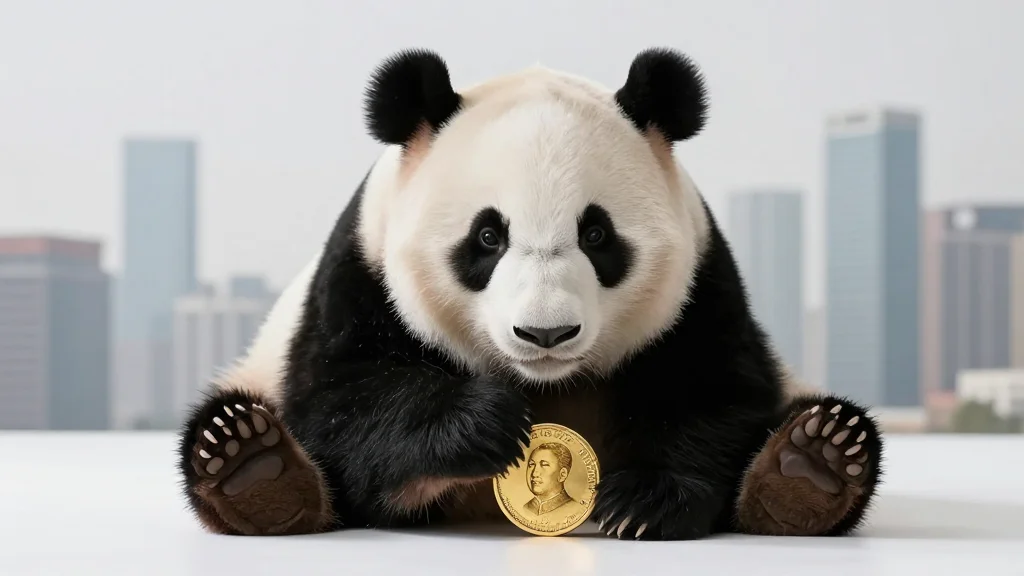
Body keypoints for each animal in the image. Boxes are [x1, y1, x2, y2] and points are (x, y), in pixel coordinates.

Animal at [177, 47, 883, 540]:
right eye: (488, 237)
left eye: (596, 234)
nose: (546, 334)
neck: (544, 383)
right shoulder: (361, 273)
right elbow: (345, 399)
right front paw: (484, 422)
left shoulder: (700, 282)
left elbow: (711, 390)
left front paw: (644, 503)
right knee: (240, 431)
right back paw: (253, 468)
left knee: (808, 423)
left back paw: (810, 464)